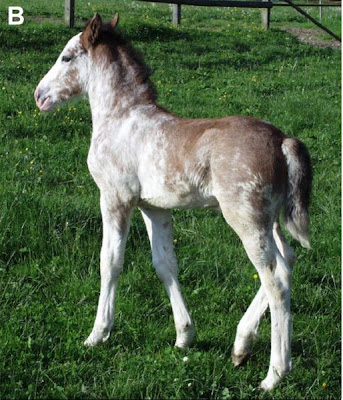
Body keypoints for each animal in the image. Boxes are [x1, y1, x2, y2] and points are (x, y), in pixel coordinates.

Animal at [34, 13, 312, 390]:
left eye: (66, 57)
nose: (39, 96)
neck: (121, 119)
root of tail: (282, 140)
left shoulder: (115, 198)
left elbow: (111, 261)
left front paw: (97, 334)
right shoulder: (154, 208)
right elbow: (165, 264)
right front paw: (184, 336)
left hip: (247, 220)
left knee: (276, 280)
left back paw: (274, 374)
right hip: (270, 222)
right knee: (288, 260)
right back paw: (241, 345)